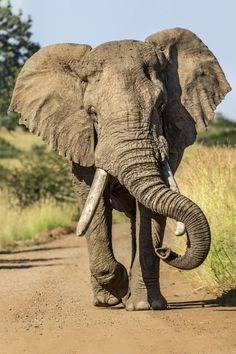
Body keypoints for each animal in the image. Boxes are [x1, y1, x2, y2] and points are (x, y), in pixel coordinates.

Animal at [9, 27, 230, 310]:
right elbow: (93, 206)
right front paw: (114, 291)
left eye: (161, 107)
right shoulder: (81, 140)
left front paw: (144, 305)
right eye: (92, 113)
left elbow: (149, 212)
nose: (166, 249)